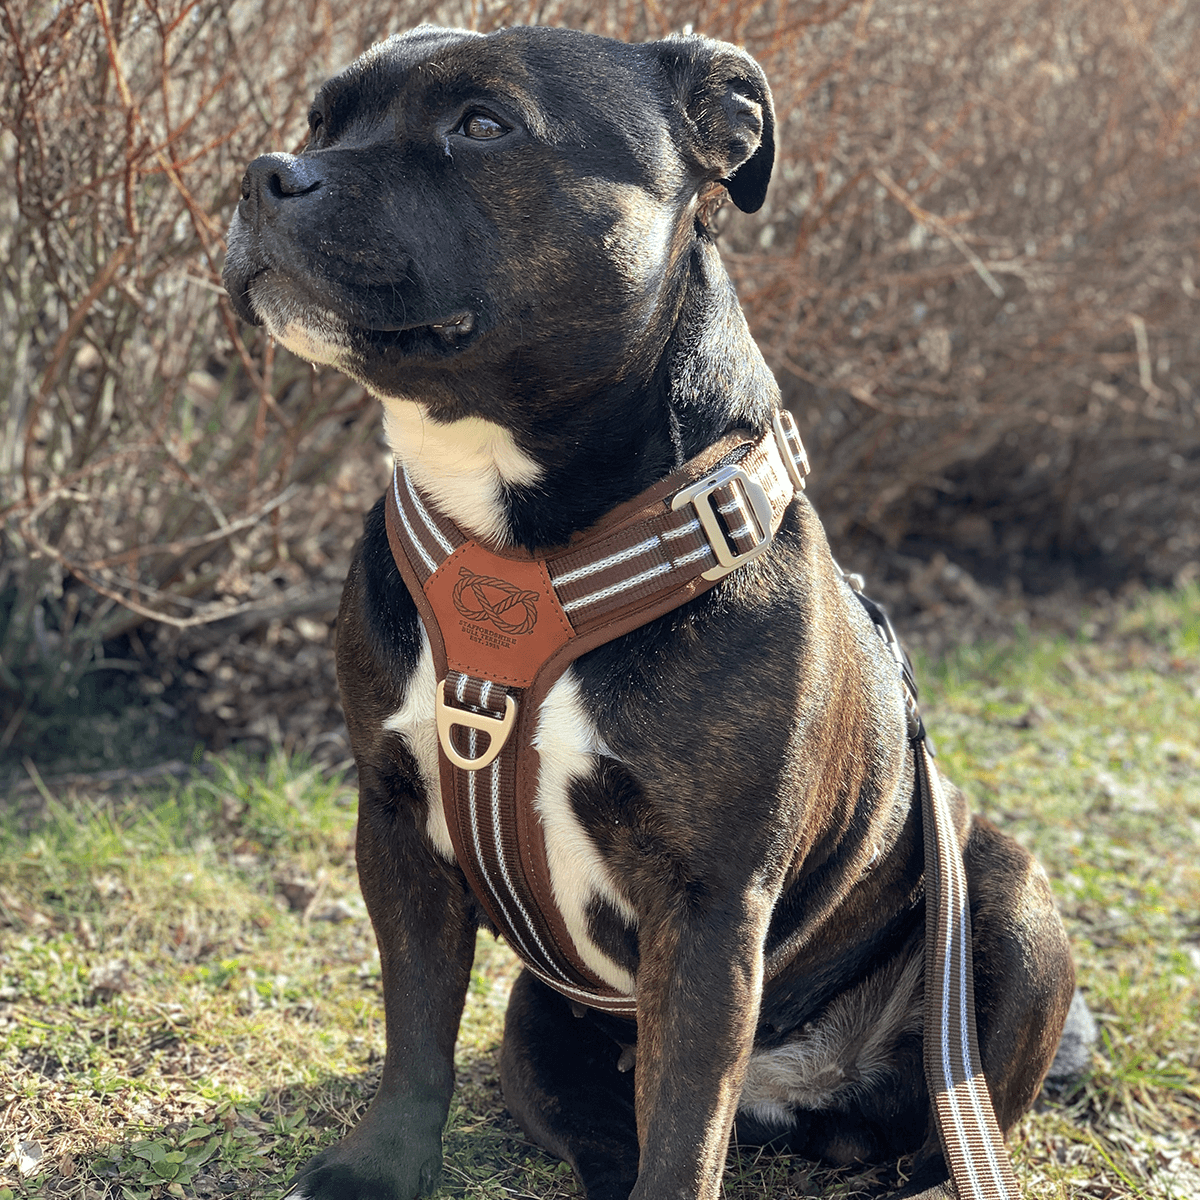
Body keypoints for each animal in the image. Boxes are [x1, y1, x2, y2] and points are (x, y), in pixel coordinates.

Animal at [225, 21, 1080, 1200]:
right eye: (319, 123)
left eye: (482, 124)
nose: (268, 173)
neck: (521, 543)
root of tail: (796, 1083)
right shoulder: (395, 825)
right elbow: (416, 1026)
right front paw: (382, 1167)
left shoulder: (709, 904)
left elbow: (686, 1121)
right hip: (538, 1023)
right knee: (600, 1131)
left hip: (1009, 899)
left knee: (939, 1125)